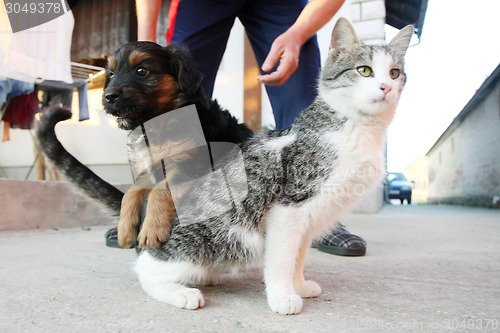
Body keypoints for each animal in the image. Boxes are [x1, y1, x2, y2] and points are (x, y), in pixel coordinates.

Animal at [36, 42, 252, 246]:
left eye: (142, 71)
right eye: (111, 73)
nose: (109, 96)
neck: (158, 124)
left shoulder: (191, 162)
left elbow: (161, 190)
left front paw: (152, 230)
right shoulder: (149, 167)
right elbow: (132, 191)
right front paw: (125, 229)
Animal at [135, 18, 412, 314]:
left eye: (395, 73)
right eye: (364, 70)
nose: (386, 87)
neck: (356, 128)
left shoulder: (308, 219)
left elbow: (299, 255)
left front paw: (299, 285)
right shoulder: (288, 207)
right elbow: (282, 259)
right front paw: (282, 296)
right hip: (210, 243)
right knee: (145, 270)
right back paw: (181, 293)